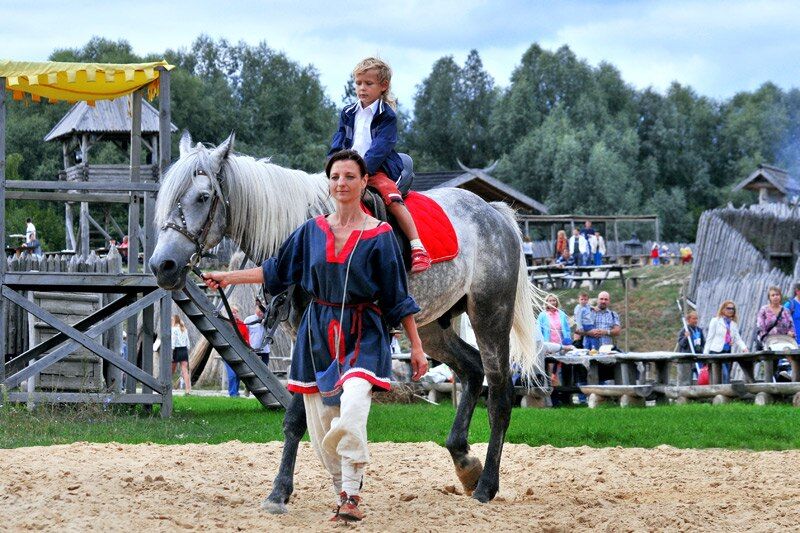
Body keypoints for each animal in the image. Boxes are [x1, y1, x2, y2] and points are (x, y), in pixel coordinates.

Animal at [150, 132, 548, 508]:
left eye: (203, 197)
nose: (162, 265)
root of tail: (492, 211)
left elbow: (308, 416)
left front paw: (286, 489)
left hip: (490, 314)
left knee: (500, 393)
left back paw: (486, 486)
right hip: (431, 328)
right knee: (471, 370)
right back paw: (465, 462)